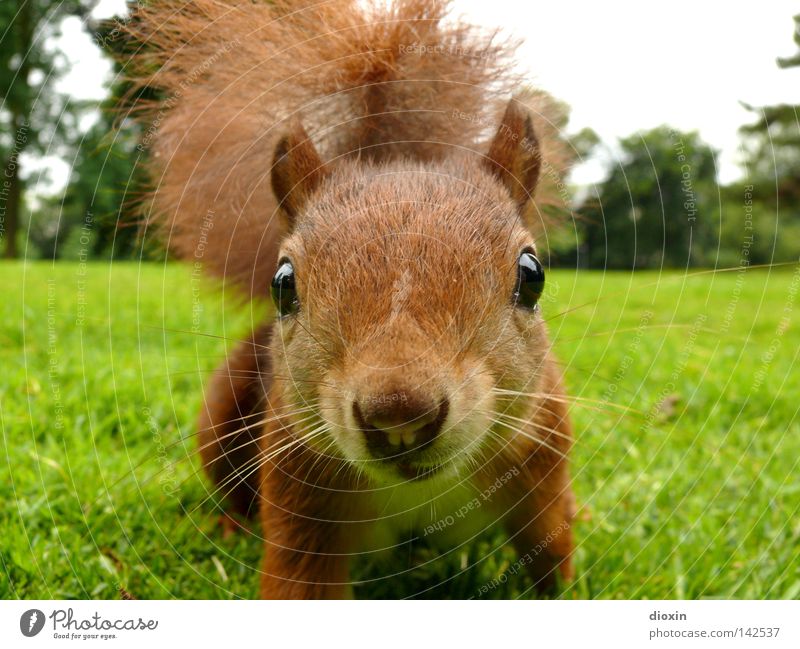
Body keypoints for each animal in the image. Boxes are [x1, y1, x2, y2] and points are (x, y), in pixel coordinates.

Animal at [123, 0, 576, 596]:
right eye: (283, 284)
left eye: (533, 275)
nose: (399, 417)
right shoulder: (299, 482)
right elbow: (299, 581)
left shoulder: (541, 454)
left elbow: (552, 550)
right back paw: (227, 529)